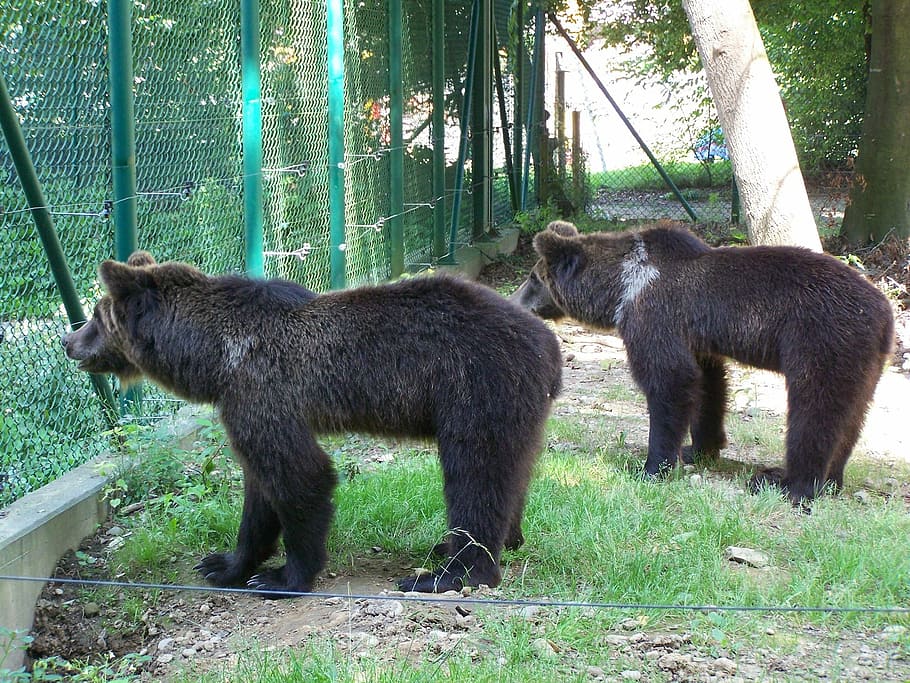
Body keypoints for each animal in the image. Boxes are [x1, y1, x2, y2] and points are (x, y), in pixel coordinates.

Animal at [63, 251, 563, 595]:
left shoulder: (262, 391)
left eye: (95, 314)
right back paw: (489, 541)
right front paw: (225, 563)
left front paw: (282, 576)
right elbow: (259, 491)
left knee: (475, 475)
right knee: (514, 471)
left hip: (476, 388)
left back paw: (449, 572)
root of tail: (549, 347)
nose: (69, 341)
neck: (214, 357)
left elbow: (301, 476)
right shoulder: (247, 407)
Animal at [512, 220, 894, 505]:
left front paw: (652, 466)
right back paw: (832, 480)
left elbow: (670, 380)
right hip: (864, 362)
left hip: (821, 340)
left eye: (533, 277)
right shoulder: (696, 337)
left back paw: (788, 483)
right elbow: (708, 385)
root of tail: (884, 313)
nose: (514, 300)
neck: (622, 289)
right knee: (853, 414)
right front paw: (699, 447)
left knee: (815, 410)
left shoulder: (655, 315)